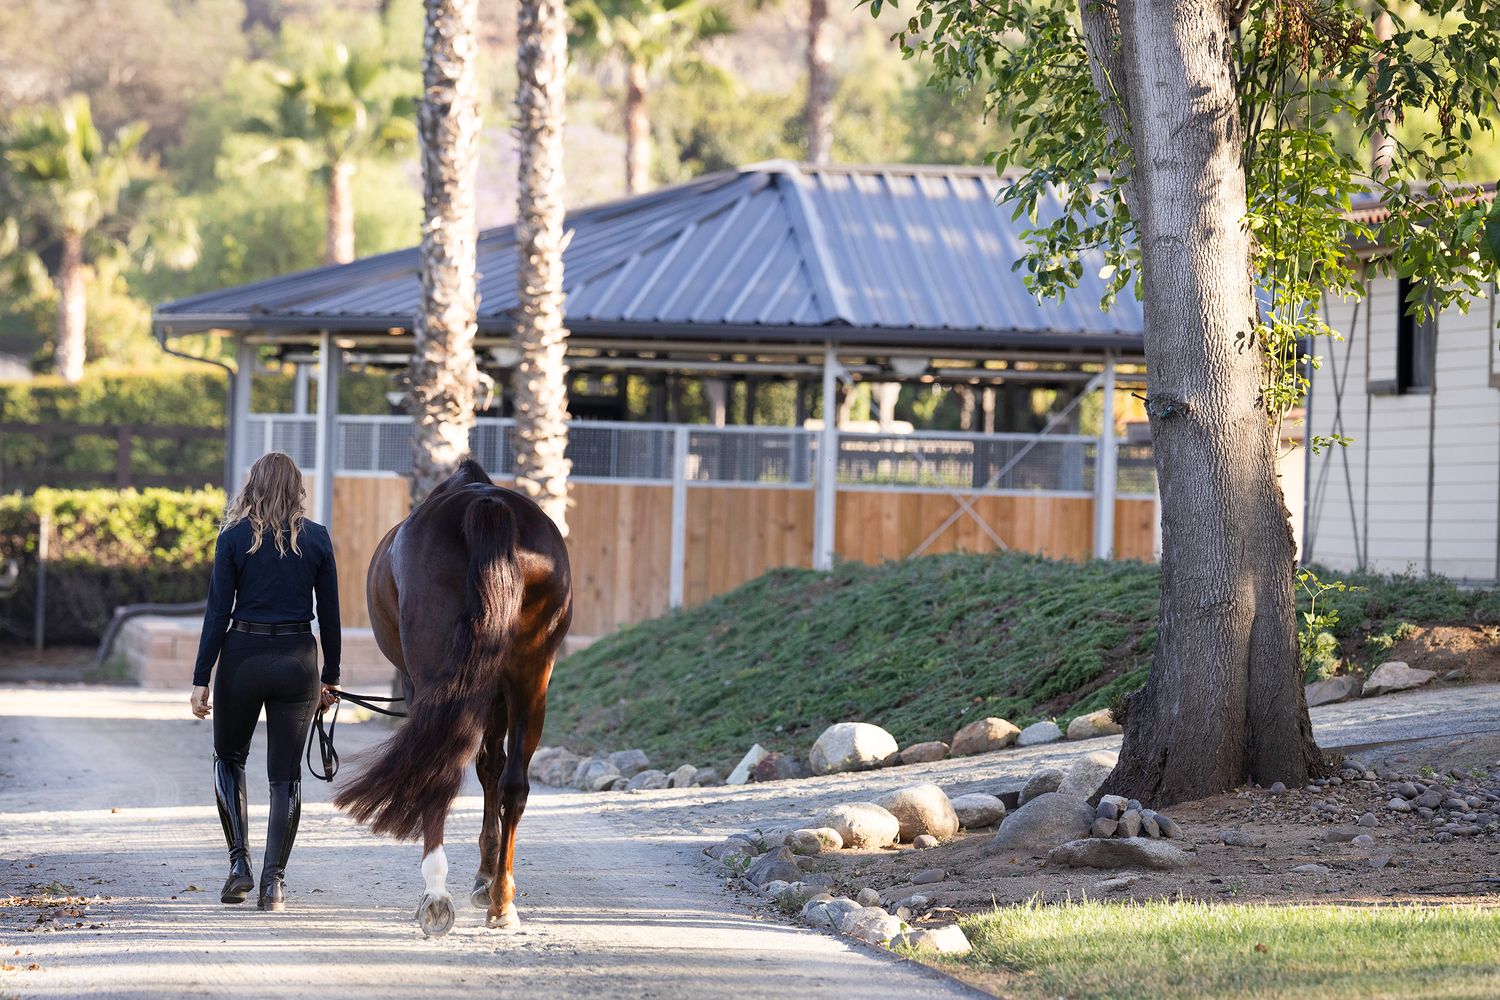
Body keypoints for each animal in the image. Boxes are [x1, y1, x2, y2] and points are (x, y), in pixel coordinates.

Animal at [333, 458, 572, 935]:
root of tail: (486, 505)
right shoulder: (494, 692)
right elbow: (492, 768)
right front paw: (486, 877)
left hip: (435, 680)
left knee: (437, 771)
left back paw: (436, 895)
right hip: (532, 677)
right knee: (514, 784)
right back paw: (502, 902)